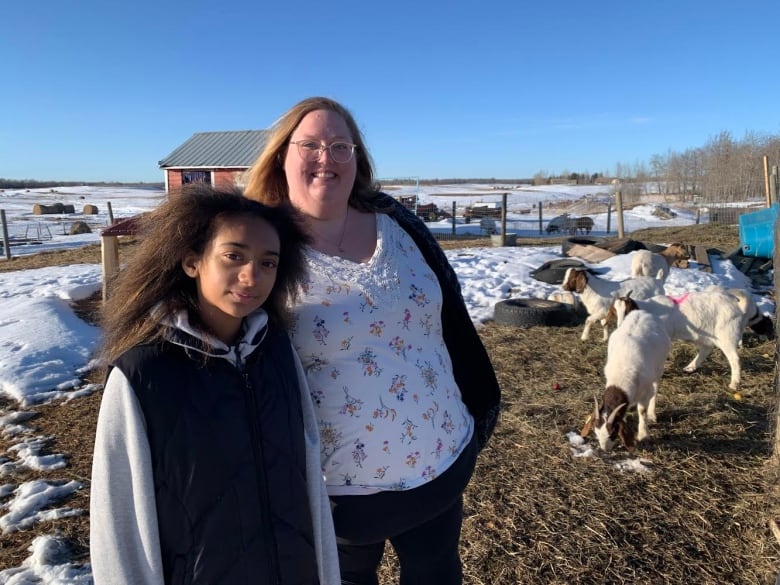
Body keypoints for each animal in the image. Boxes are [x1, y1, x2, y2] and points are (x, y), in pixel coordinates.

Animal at [612, 288, 748, 390]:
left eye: (627, 310)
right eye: (615, 311)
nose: (620, 326)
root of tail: (737, 306)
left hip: (727, 335)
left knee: (734, 359)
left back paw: (734, 384)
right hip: (707, 334)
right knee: (706, 349)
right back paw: (690, 368)